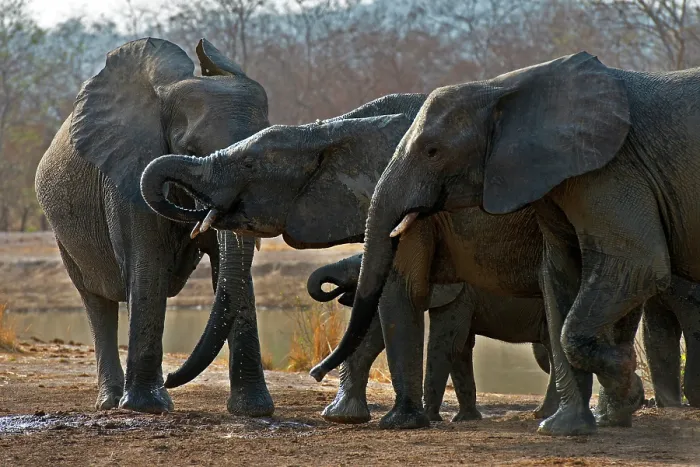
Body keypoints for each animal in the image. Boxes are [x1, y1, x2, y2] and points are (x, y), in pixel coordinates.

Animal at [34, 37, 273, 415]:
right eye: (190, 150)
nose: (174, 377)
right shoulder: (127, 176)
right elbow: (148, 266)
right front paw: (146, 407)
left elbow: (233, 274)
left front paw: (254, 411)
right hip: (63, 235)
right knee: (97, 300)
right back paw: (113, 402)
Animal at [307, 253, 556, 423]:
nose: (315, 374)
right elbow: (460, 348)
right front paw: (465, 419)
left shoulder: (459, 291)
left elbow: (445, 343)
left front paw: (429, 417)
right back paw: (542, 414)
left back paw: (544, 415)